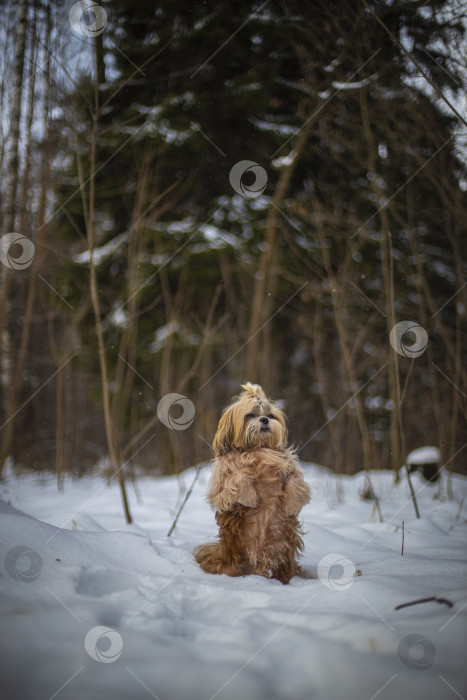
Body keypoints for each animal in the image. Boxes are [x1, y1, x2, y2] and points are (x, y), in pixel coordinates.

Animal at [194, 382, 310, 584]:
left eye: (270, 415)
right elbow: (237, 477)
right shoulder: (222, 484)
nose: (264, 420)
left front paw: (291, 505)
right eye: (250, 415)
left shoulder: (290, 468)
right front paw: (250, 498)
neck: (259, 448)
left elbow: (294, 482)